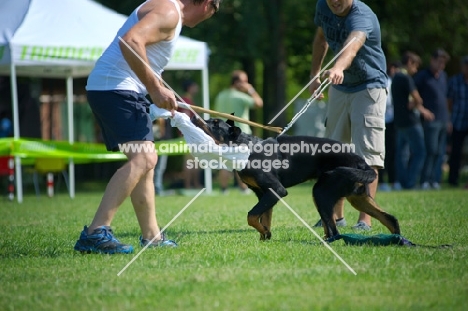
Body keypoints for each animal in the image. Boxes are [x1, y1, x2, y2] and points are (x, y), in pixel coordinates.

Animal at [192, 117, 400, 241]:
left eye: (215, 124)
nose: (196, 117)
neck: (245, 148)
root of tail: (361, 161)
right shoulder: (264, 194)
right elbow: (264, 217)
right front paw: (265, 236)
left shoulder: (276, 190)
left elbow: (252, 215)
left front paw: (264, 233)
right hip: (357, 196)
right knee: (389, 218)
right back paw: (397, 240)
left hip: (321, 192)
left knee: (334, 230)